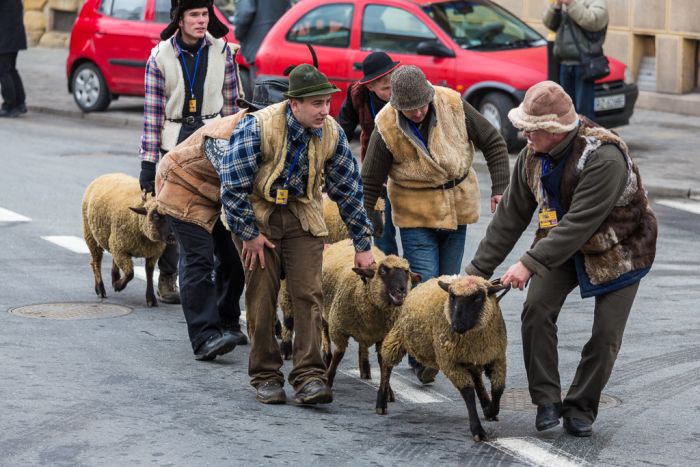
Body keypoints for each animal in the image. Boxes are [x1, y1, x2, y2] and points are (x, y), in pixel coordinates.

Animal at [82, 173, 175, 308]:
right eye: (155, 216)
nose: (173, 236)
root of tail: (106, 174)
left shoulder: (153, 253)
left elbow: (149, 273)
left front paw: (150, 298)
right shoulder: (121, 249)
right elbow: (130, 273)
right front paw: (118, 286)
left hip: (113, 241)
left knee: (111, 259)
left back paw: (114, 277)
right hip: (91, 235)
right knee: (96, 262)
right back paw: (100, 288)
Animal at [322, 241, 424, 388]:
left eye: (407, 273)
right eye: (383, 271)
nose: (402, 290)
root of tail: (344, 240)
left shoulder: (384, 336)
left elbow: (384, 364)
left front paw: (387, 390)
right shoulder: (338, 329)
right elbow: (338, 356)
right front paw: (328, 380)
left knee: (363, 347)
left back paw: (365, 368)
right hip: (324, 309)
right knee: (324, 331)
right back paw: (326, 356)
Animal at [378, 274, 508, 442]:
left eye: (478, 297)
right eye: (452, 297)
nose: (457, 326)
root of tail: (430, 280)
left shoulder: (497, 357)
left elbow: (498, 388)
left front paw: (491, 410)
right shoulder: (449, 363)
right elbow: (468, 393)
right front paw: (477, 430)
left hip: (471, 358)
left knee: (477, 378)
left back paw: (485, 403)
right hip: (399, 335)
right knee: (386, 362)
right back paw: (381, 402)